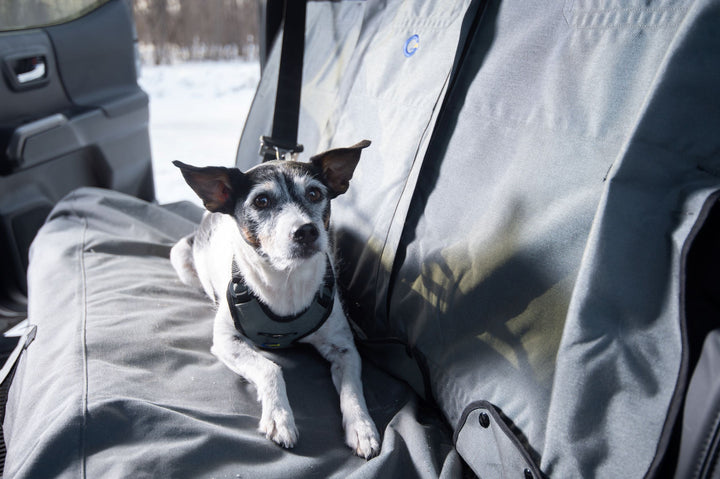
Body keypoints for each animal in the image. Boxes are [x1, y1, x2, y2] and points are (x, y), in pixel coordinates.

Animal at [169, 139, 382, 458]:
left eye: (315, 193)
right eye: (261, 201)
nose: (306, 230)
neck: (286, 280)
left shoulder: (344, 347)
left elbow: (353, 389)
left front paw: (362, 427)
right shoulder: (226, 342)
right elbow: (270, 367)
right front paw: (279, 417)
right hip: (181, 257)